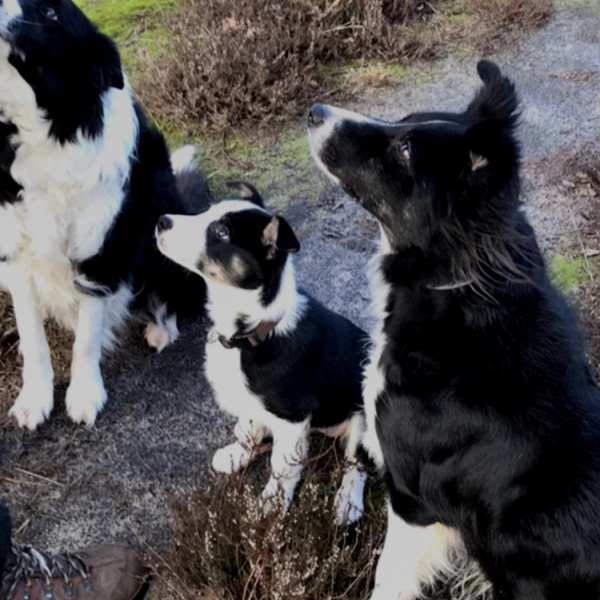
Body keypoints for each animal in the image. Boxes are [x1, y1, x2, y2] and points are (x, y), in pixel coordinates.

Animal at [155, 183, 368, 524]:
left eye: (221, 232)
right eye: (207, 211)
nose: (161, 221)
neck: (253, 331)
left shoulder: (293, 417)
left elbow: (281, 465)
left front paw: (271, 503)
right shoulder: (253, 401)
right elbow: (248, 427)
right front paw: (235, 455)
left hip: (364, 414)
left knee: (357, 462)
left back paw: (347, 502)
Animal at [310, 62, 600, 600]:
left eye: (405, 150)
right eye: (402, 121)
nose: (315, 111)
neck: (455, 285)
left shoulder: (414, 502)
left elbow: (386, 579)